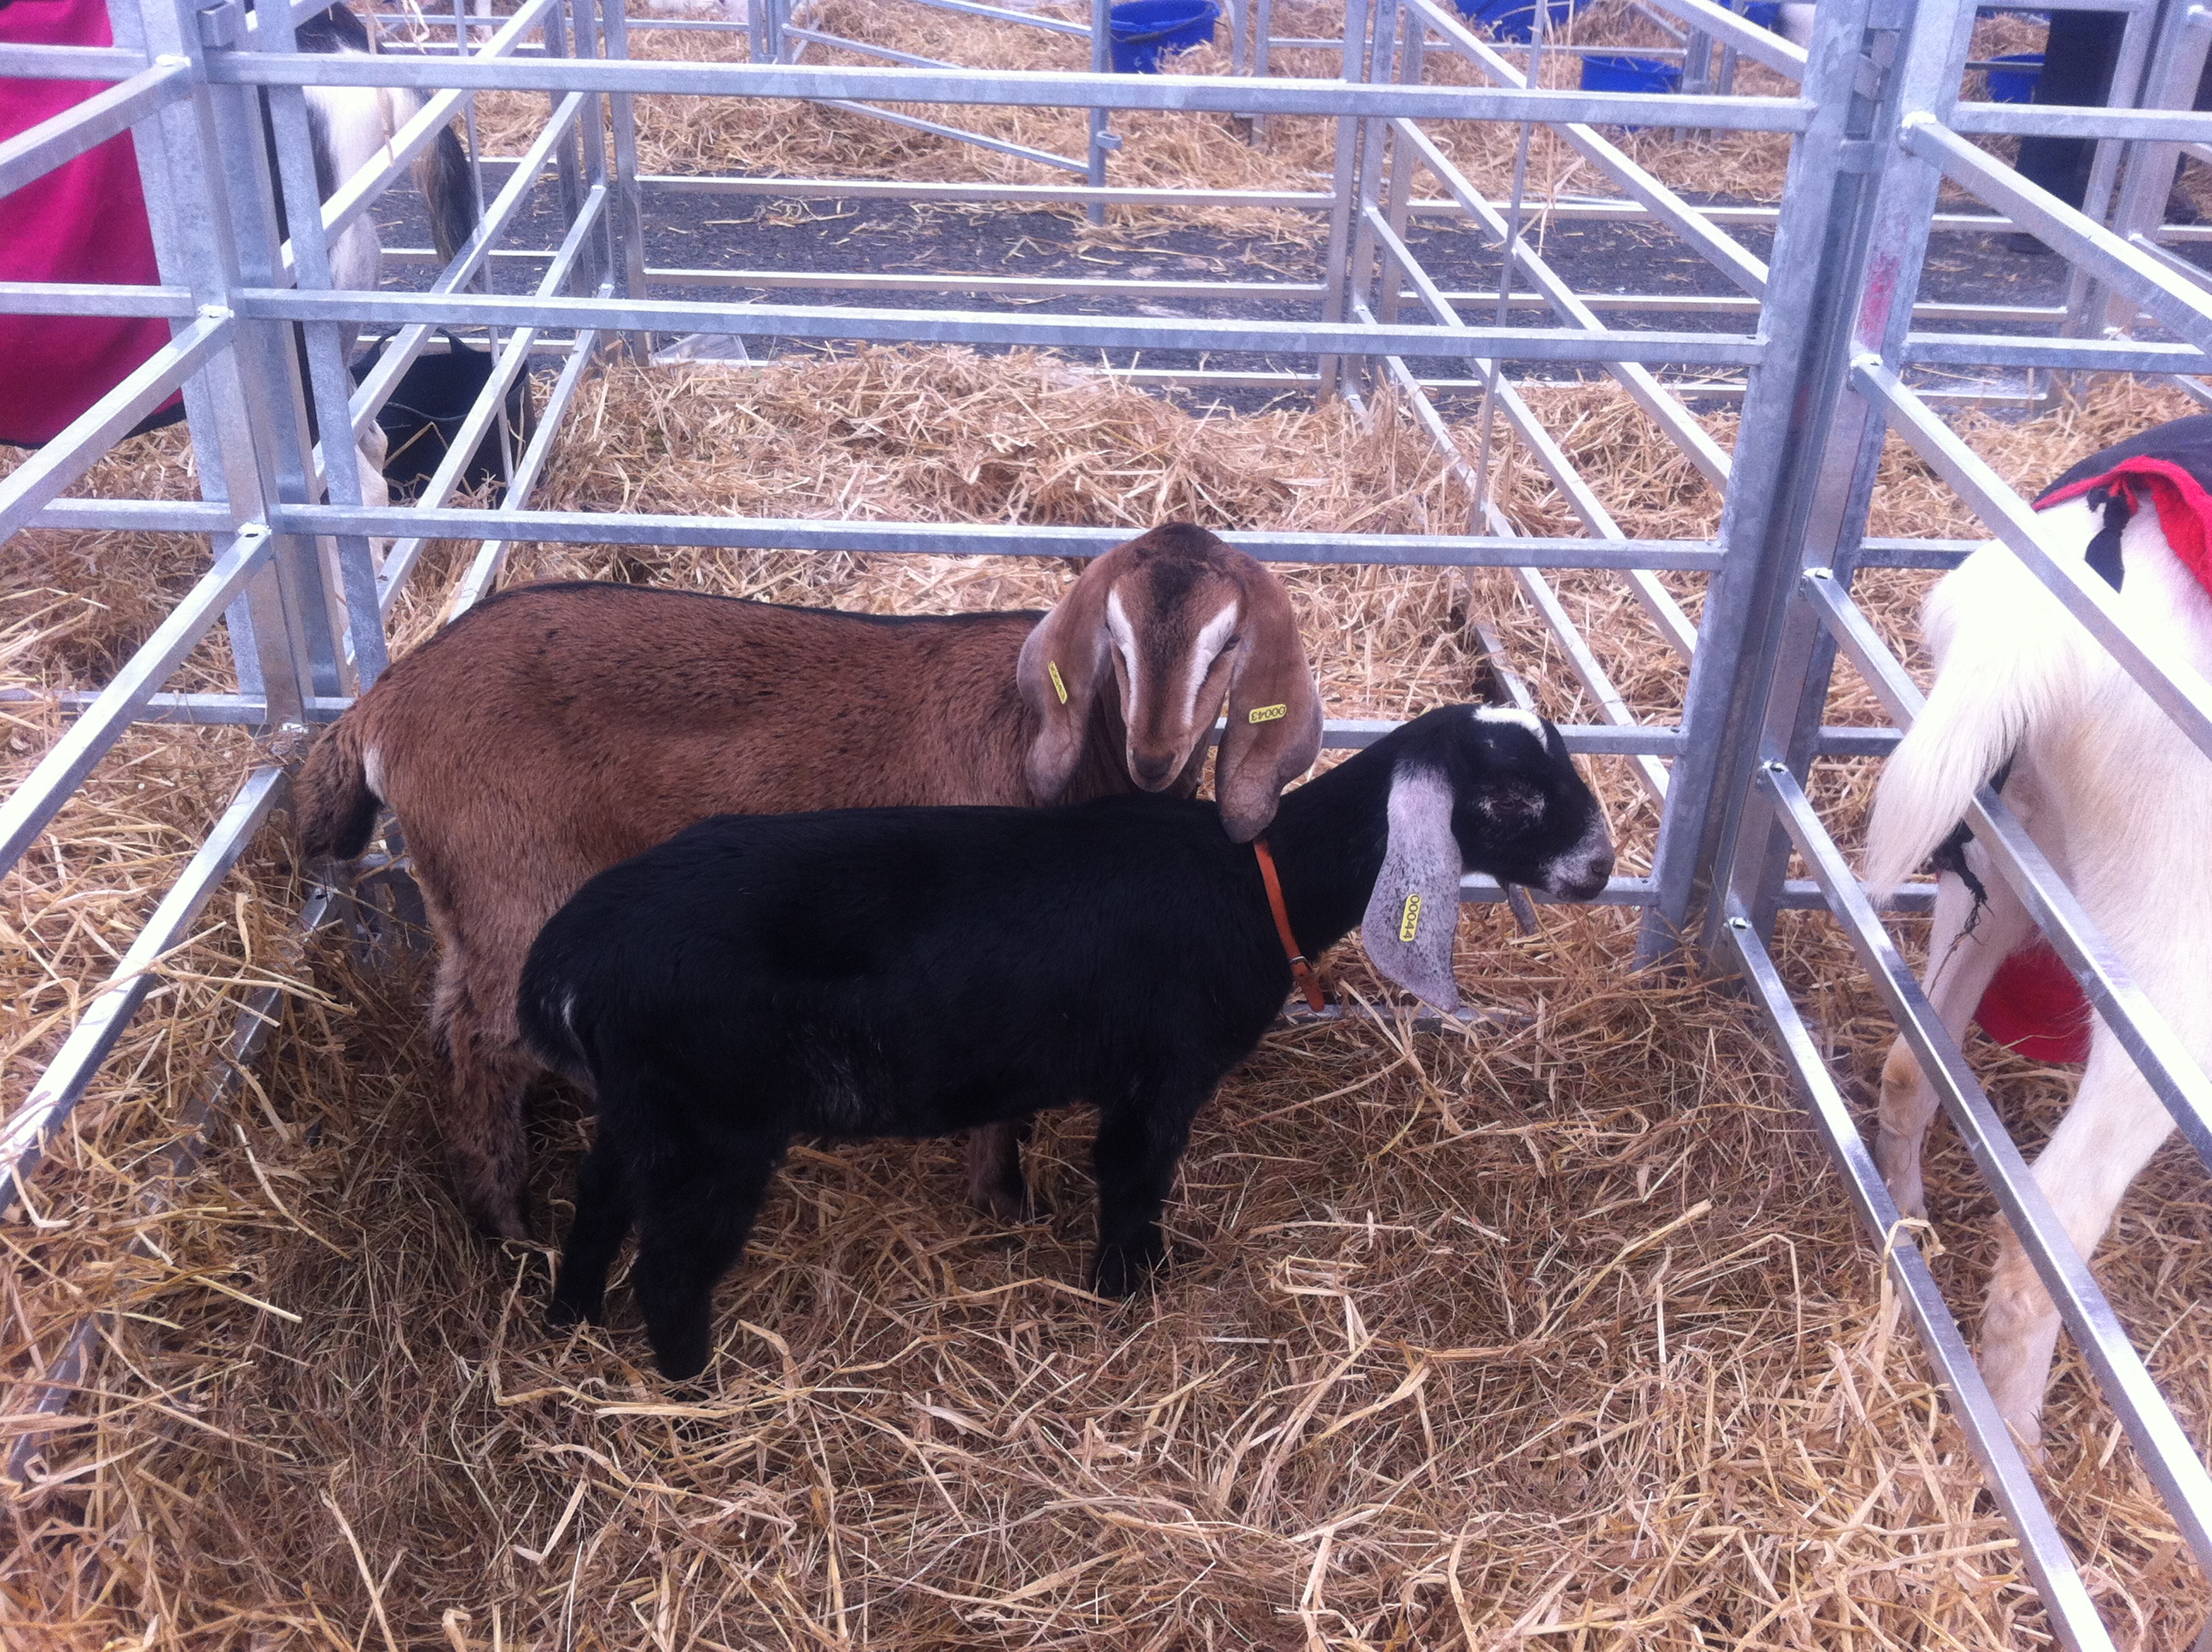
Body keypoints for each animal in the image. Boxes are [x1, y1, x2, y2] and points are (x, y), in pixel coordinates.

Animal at [296, 524, 1325, 1240]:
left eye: (1225, 647)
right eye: (1113, 635)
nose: (1157, 755)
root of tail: (384, 702)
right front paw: (1003, 1200)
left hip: (475, 896)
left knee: (459, 1013)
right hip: (511, 877)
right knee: (485, 1037)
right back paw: (506, 1224)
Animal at [517, 703, 1615, 1378]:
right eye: (1513, 798)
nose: (1602, 870)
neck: (1258, 878)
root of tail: (572, 951)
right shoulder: (1160, 1074)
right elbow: (1131, 1181)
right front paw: (1130, 1291)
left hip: (644, 1105)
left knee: (598, 1200)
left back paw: (570, 1323)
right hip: (716, 1119)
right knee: (670, 1270)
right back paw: (699, 1397)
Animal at [1864, 417, 2212, 1454]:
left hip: (2001, 856)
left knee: (1912, 1060)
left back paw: (1910, 1225)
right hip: (2172, 985)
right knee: (2040, 1246)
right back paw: (2018, 1446)